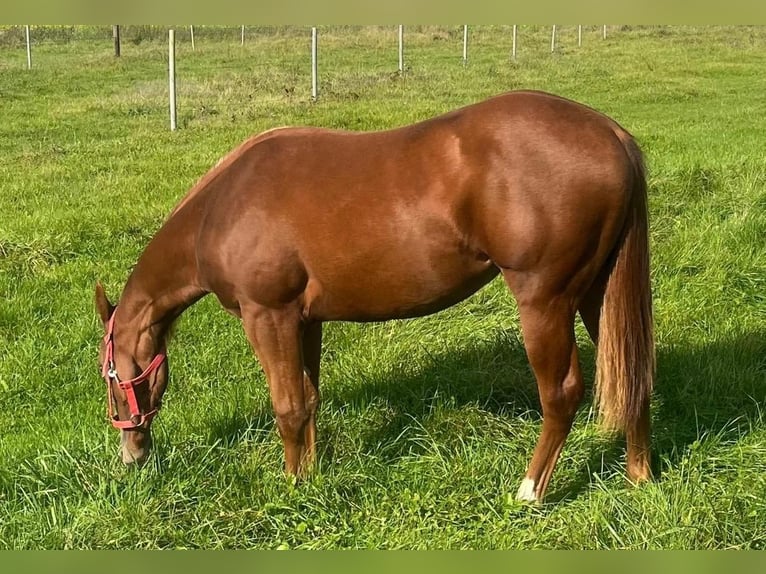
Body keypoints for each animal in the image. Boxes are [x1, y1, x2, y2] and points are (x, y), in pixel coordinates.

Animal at [95, 90, 654, 503]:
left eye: (109, 373)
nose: (130, 454)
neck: (221, 207)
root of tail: (610, 134)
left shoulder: (268, 317)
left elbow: (287, 406)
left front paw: (292, 487)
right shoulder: (305, 321)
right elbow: (309, 400)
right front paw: (312, 475)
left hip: (545, 301)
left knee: (561, 393)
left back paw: (530, 491)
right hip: (597, 294)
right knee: (633, 376)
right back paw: (639, 476)